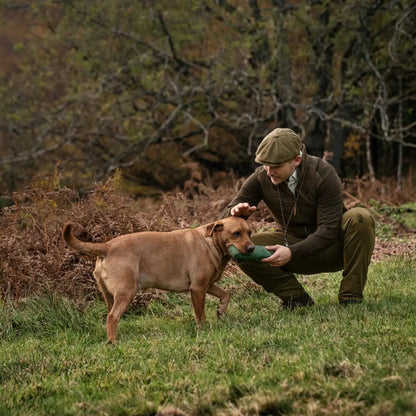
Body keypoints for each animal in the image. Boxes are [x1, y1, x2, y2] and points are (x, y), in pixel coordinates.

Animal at [62, 216, 254, 342]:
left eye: (249, 232)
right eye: (236, 233)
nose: (252, 248)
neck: (211, 242)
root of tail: (107, 246)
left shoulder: (208, 285)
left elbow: (226, 294)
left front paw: (221, 311)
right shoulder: (198, 288)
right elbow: (200, 315)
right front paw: (203, 329)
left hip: (109, 295)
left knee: (110, 316)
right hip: (126, 292)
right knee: (112, 317)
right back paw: (113, 342)